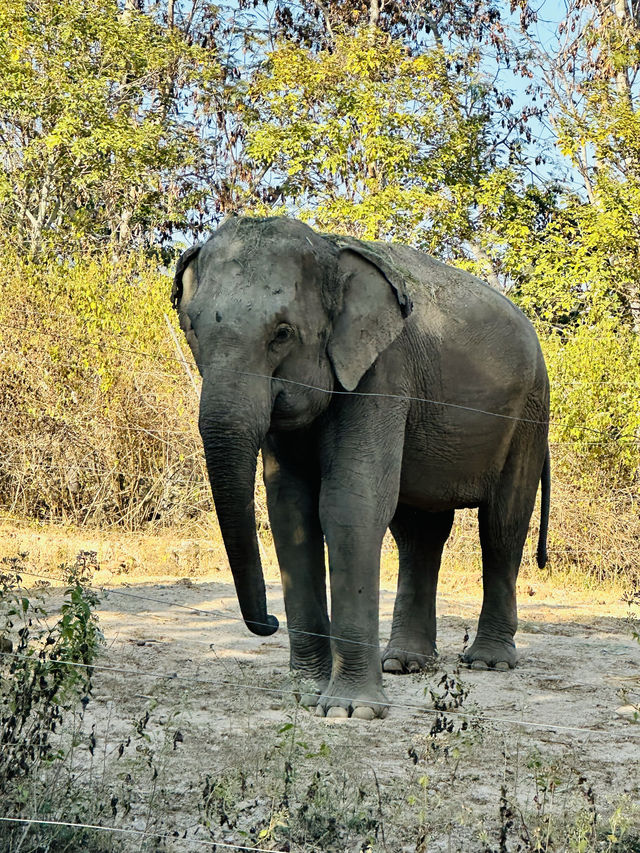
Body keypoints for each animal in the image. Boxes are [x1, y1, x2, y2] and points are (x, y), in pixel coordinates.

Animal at [171, 215, 552, 720]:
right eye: (193, 329)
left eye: (282, 334)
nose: (268, 621)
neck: (330, 249)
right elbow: (290, 512)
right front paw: (304, 694)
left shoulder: (382, 373)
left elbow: (351, 504)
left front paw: (350, 710)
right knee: (419, 532)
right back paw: (403, 663)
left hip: (529, 413)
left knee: (502, 525)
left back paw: (488, 663)